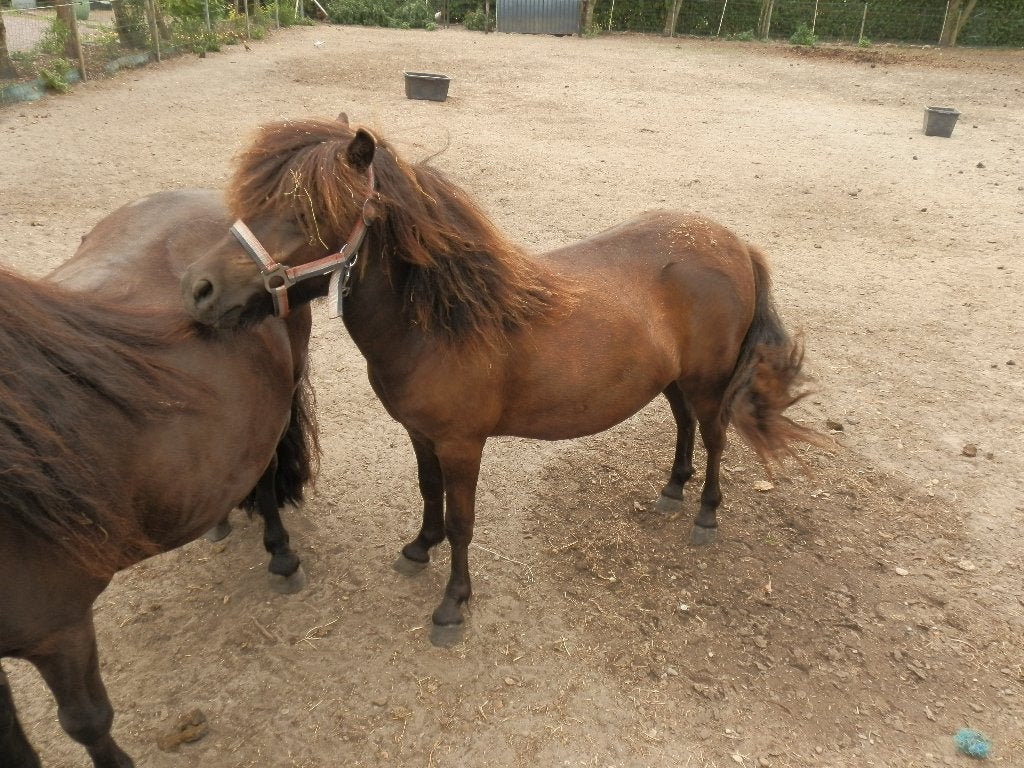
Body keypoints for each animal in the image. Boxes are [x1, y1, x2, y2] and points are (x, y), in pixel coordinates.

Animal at [180, 116, 825, 643]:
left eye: (306, 212)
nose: (197, 288)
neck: (441, 322)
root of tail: (735, 243)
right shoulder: (421, 434)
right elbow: (429, 493)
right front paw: (419, 548)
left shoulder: (463, 444)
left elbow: (462, 522)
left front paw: (452, 605)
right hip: (675, 379)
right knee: (685, 423)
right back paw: (672, 489)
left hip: (712, 382)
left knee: (716, 438)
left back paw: (706, 514)